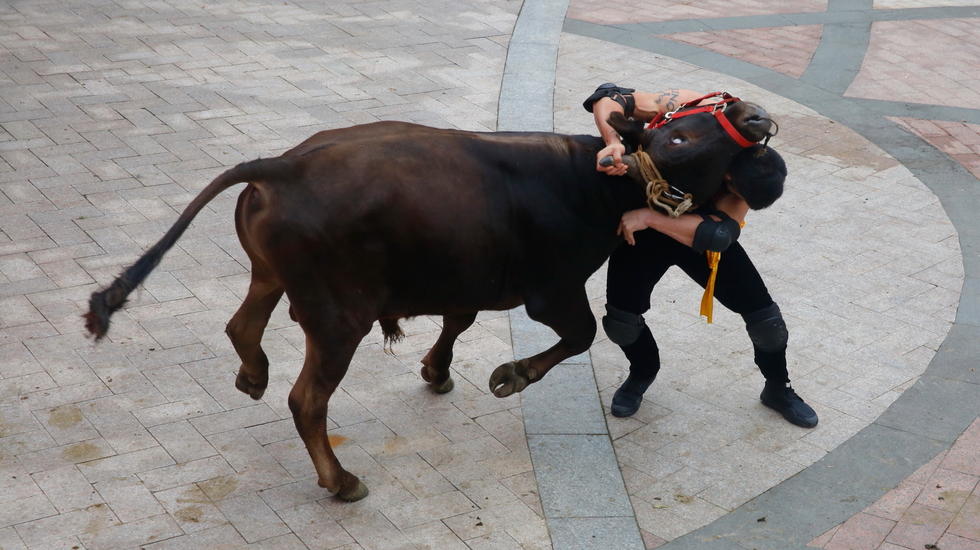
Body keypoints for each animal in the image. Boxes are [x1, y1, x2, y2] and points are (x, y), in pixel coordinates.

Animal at [84, 103, 772, 504]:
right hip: (338, 319)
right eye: (677, 135)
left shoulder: (467, 276)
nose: (752, 113)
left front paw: (437, 371)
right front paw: (508, 375)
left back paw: (253, 376)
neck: (595, 181)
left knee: (241, 324)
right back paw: (341, 481)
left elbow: (459, 320)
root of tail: (284, 164)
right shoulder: (553, 291)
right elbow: (580, 335)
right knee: (306, 400)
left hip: (273, 277)